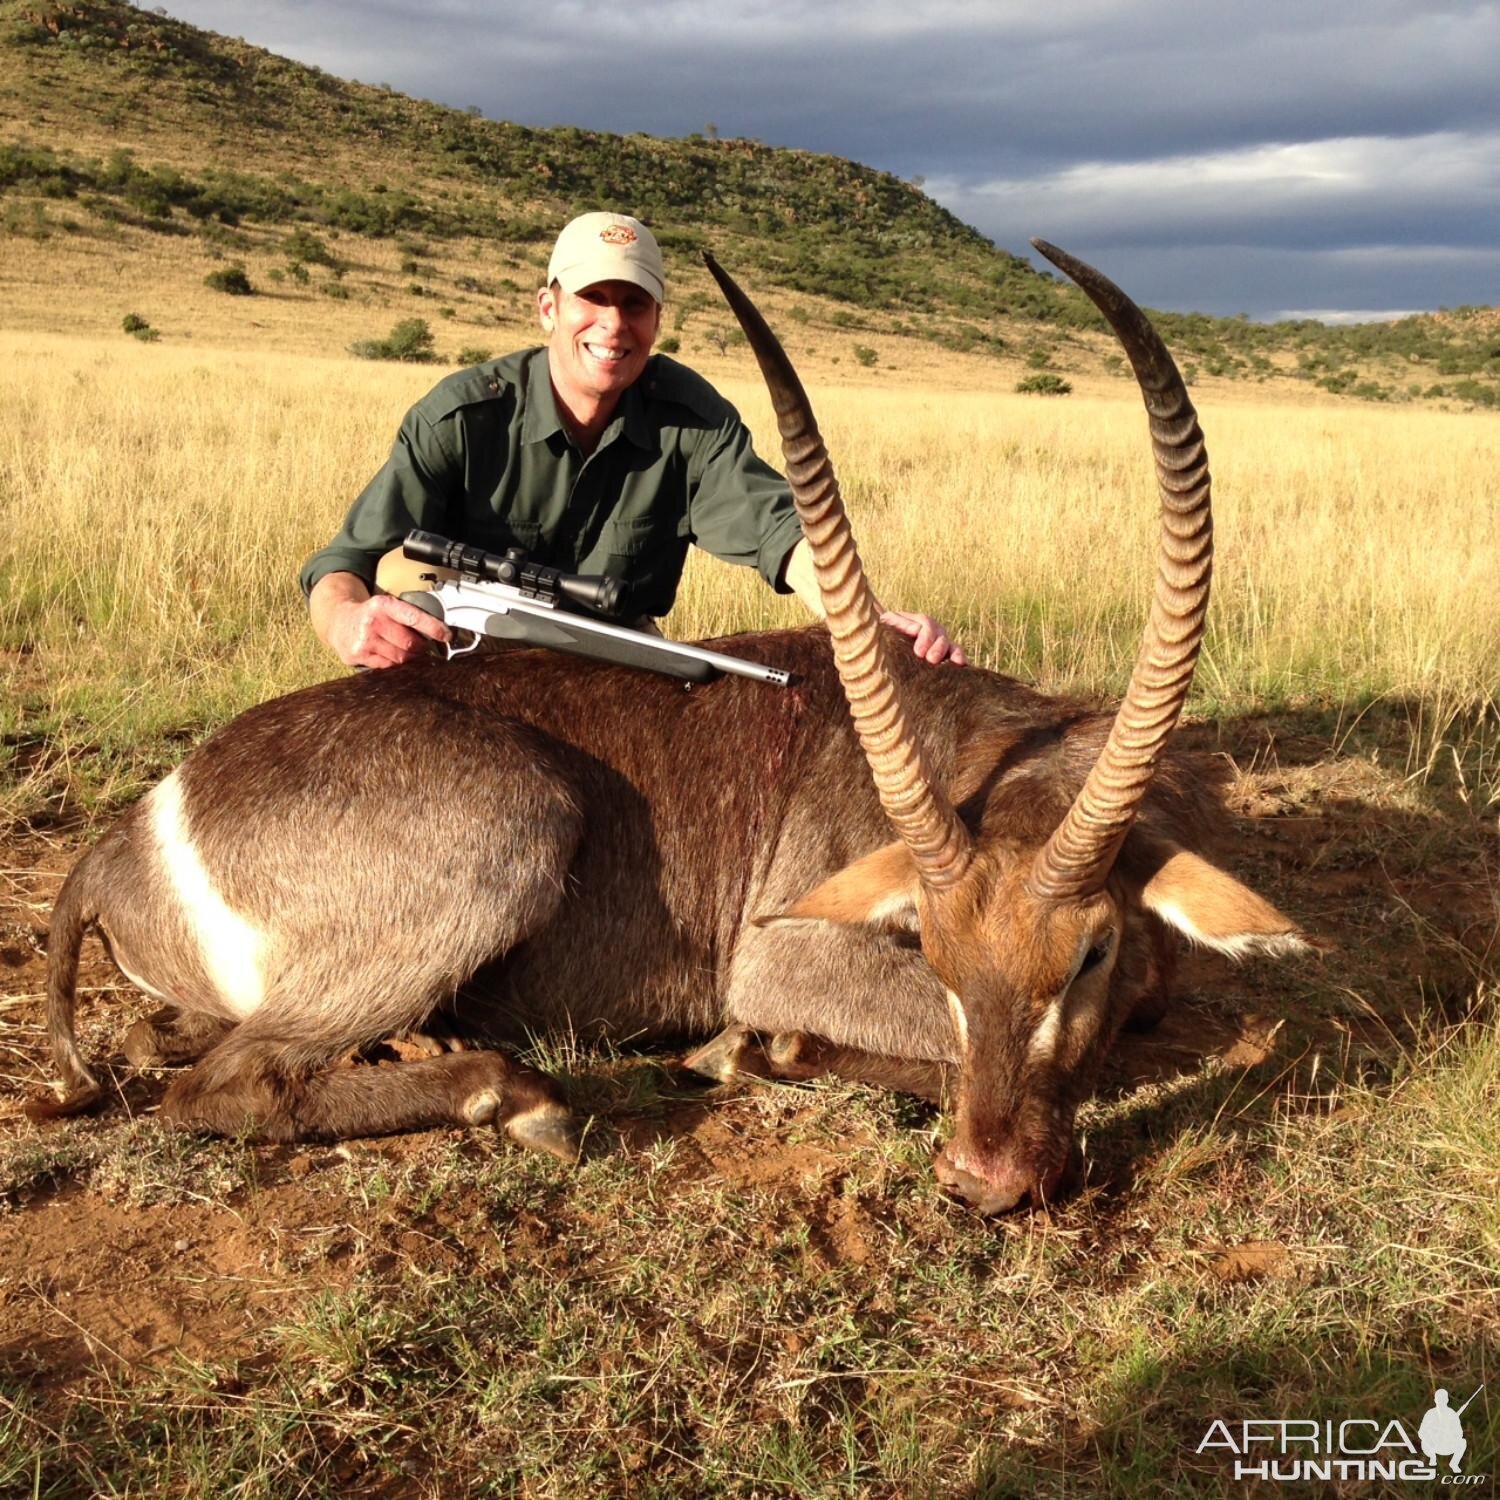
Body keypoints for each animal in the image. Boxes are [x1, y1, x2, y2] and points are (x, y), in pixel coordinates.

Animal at [26, 243, 1314, 1206]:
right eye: (935, 953)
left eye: (1088, 952)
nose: (983, 1180)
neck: (997, 755)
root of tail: (130, 833)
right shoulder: (787, 954)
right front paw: (757, 1050)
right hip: (518, 822)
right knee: (226, 1087)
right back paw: (515, 1094)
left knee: (175, 1052)